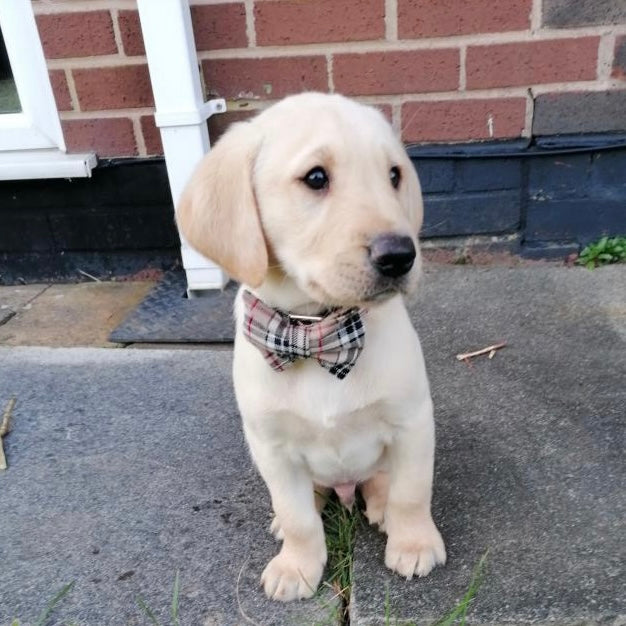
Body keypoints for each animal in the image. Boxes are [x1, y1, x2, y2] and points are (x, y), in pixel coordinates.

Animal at [176, 92, 444, 600]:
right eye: (316, 177)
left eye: (394, 175)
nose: (401, 256)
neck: (315, 331)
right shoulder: (271, 447)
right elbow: (299, 516)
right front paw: (297, 566)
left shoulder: (413, 421)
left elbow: (411, 492)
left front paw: (414, 542)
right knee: (309, 500)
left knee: (382, 480)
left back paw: (379, 504)